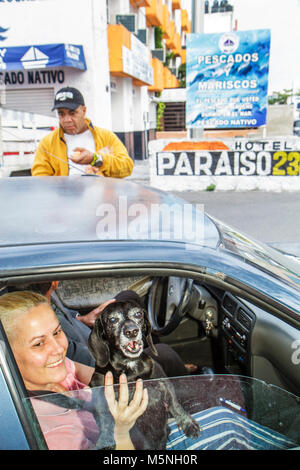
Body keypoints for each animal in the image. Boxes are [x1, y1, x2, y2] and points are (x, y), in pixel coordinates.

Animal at [87, 290, 199, 448]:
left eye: (138, 314)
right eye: (112, 320)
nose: (131, 331)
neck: (131, 367)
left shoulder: (163, 382)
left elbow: (175, 404)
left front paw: (188, 424)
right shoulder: (98, 387)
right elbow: (104, 417)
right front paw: (105, 439)